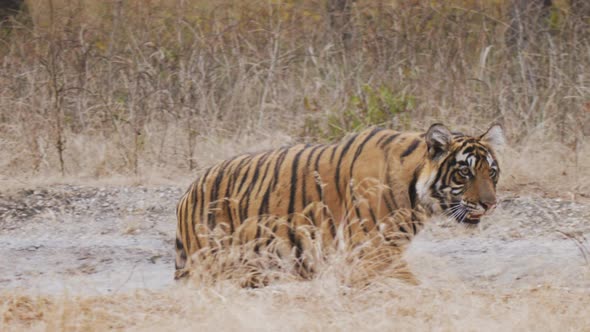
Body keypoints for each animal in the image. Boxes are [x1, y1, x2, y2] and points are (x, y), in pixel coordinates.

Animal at [173, 123, 506, 284]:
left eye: (491, 172)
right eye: (464, 172)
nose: (490, 205)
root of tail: (189, 191)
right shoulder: (373, 253)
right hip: (212, 264)